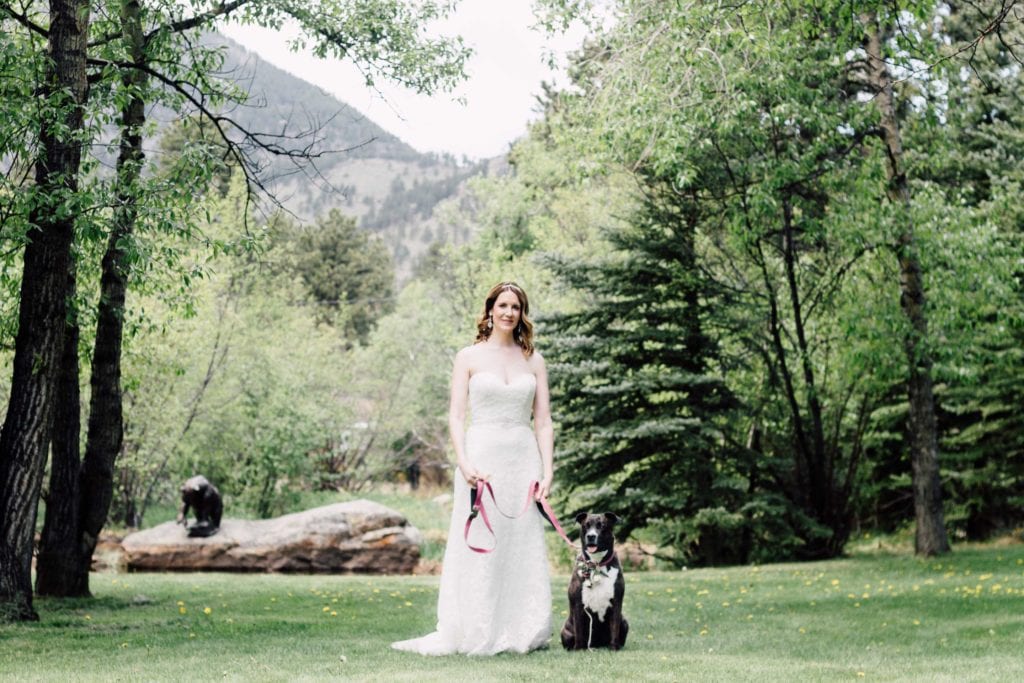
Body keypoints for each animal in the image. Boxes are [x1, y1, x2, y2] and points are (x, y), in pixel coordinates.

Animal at [561, 511, 622, 651]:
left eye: (602, 525)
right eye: (586, 526)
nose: (591, 536)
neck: (597, 564)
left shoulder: (616, 602)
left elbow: (615, 628)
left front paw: (614, 648)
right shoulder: (578, 604)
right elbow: (579, 629)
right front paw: (578, 649)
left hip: (625, 622)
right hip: (566, 631)